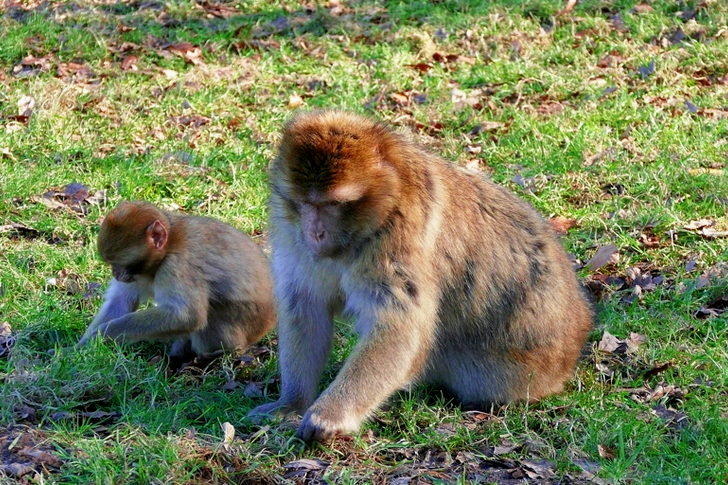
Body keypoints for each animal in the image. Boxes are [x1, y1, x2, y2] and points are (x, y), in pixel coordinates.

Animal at [76, 201, 276, 360]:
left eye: (119, 264)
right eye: (111, 264)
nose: (116, 274)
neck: (168, 248)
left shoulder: (177, 266)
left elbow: (185, 316)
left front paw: (103, 333)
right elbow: (119, 302)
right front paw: (82, 349)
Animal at [247, 110, 593, 442]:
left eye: (334, 204)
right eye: (305, 203)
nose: (315, 232)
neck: (375, 216)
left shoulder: (398, 237)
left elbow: (400, 327)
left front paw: (329, 415)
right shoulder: (292, 233)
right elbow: (306, 308)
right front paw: (292, 403)